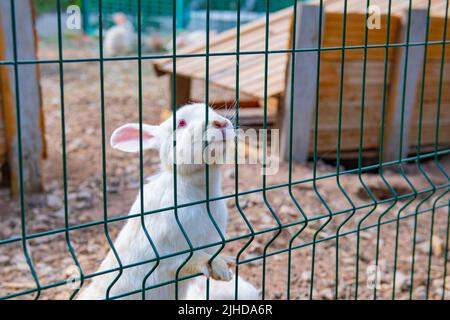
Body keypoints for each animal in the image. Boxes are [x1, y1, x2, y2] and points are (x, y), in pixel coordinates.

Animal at [79, 103, 258, 300]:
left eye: (210, 109)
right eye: (181, 123)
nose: (221, 123)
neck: (199, 188)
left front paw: (227, 261)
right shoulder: (167, 253)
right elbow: (194, 258)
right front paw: (220, 268)